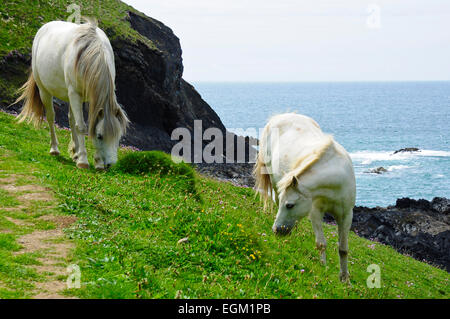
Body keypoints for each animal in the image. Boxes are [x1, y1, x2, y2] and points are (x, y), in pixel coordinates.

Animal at [15, 18, 128, 170]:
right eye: (100, 136)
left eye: (118, 137)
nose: (110, 164)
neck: (90, 53)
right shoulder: (75, 94)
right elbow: (81, 127)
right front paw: (83, 161)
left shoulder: (90, 97)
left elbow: (87, 124)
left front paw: (96, 161)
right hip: (46, 91)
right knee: (51, 117)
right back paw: (55, 149)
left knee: (71, 119)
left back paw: (75, 153)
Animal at [255, 113, 356, 282]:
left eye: (290, 205)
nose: (276, 230)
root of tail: (278, 117)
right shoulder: (315, 212)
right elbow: (321, 243)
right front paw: (323, 268)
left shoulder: (346, 215)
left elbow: (343, 249)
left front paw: (345, 279)